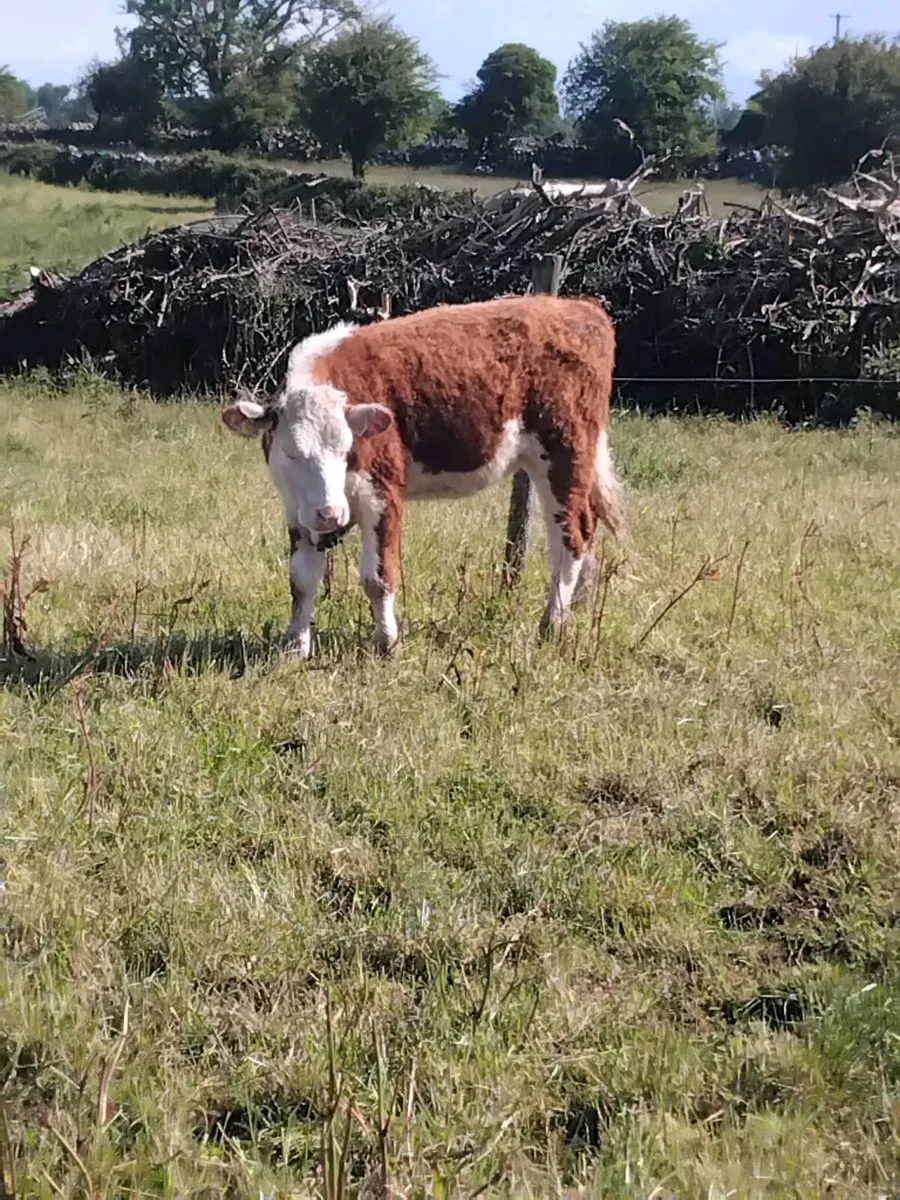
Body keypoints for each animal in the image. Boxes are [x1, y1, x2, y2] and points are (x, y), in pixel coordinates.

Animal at [221, 293, 623, 658]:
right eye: (291, 452)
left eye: (346, 449)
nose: (330, 514)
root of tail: (578, 307)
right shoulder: (297, 509)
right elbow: (302, 579)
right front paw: (295, 646)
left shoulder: (382, 495)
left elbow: (378, 577)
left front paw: (386, 643)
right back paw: (573, 609)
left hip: (565, 453)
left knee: (571, 537)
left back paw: (551, 624)